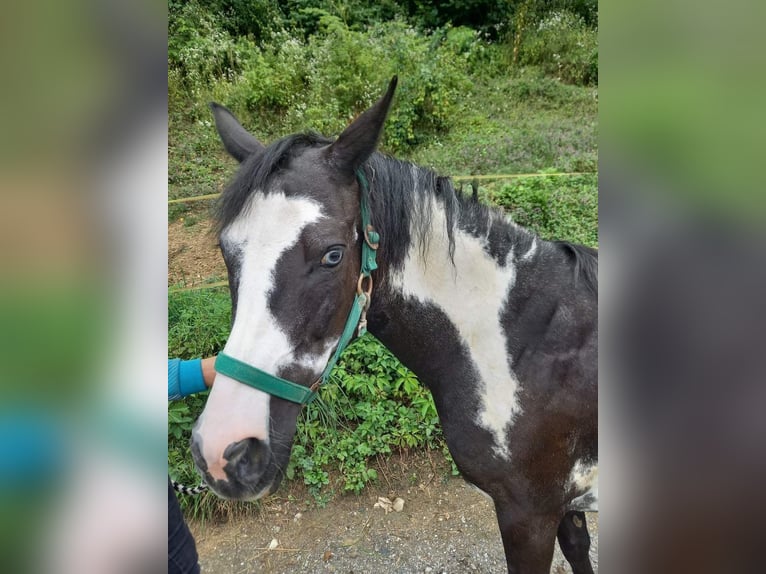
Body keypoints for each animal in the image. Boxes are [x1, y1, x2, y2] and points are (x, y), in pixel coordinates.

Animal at [192, 77, 600, 574]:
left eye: (332, 254)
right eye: (227, 249)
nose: (224, 452)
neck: (525, 347)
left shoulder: (530, 514)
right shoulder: (563, 504)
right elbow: (578, 548)